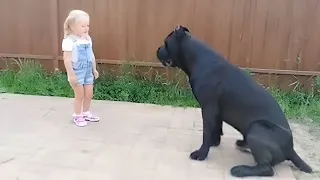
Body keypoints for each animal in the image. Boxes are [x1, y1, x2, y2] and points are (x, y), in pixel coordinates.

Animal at [156, 25, 312, 177]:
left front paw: (201, 154)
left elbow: (206, 132)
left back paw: (240, 170)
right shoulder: (216, 110)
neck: (196, 58)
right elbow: (216, 128)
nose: (157, 50)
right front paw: (214, 143)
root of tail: (291, 149)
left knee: (267, 169)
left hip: (256, 128)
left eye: (166, 43)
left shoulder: (208, 107)